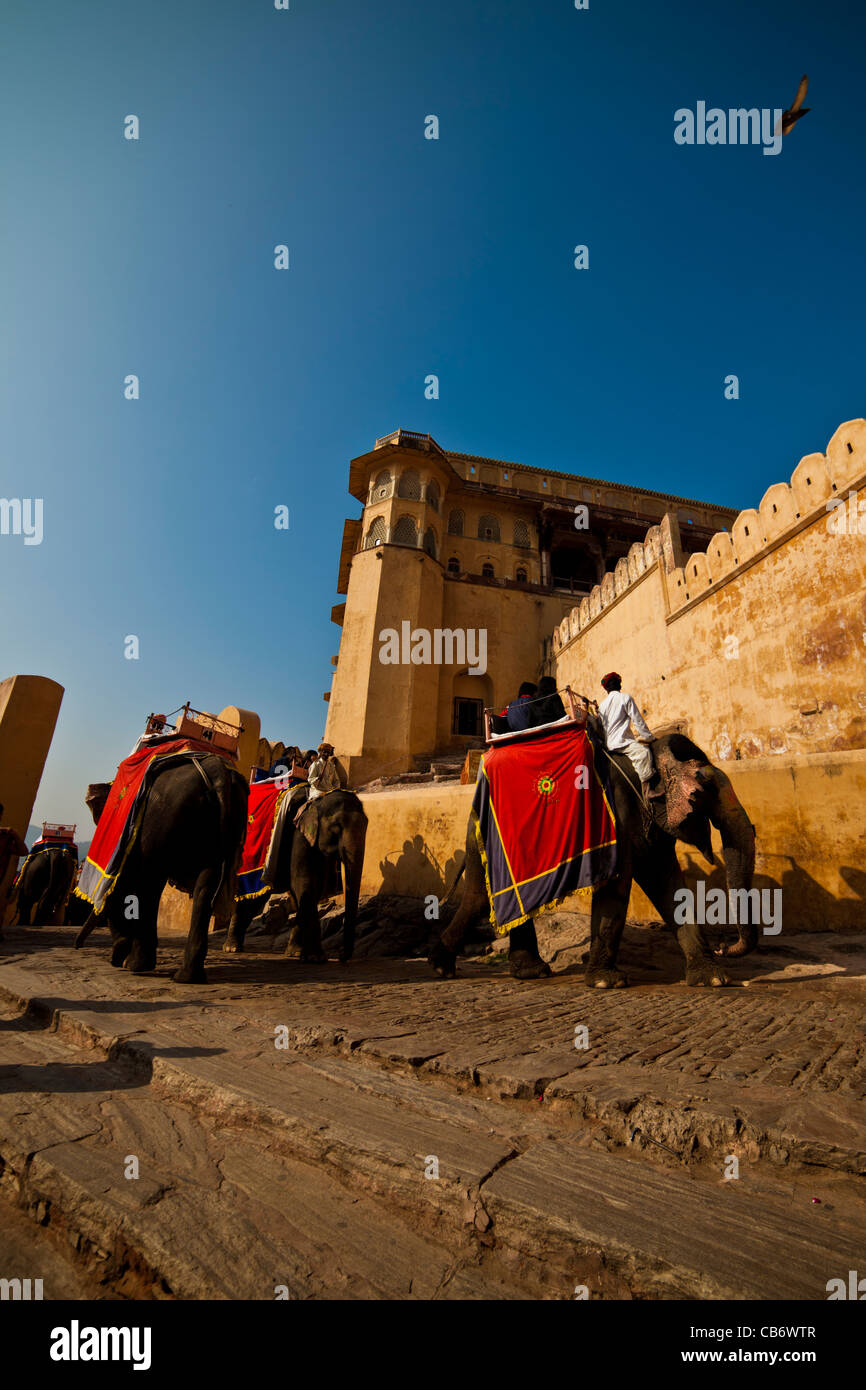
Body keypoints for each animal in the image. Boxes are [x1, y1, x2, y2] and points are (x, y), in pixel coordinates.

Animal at [75, 756, 248, 984]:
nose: (77, 946)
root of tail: (219, 772)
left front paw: (129, 962)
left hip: (164, 820)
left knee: (150, 885)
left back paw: (140, 966)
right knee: (205, 890)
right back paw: (187, 977)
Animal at [225, 795, 366, 967]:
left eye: (367, 824)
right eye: (336, 827)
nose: (340, 957)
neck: (317, 799)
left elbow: (315, 888)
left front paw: (297, 953)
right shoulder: (299, 836)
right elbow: (305, 882)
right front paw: (315, 958)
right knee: (252, 899)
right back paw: (232, 948)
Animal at [430, 728, 756, 989]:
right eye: (705, 790)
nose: (725, 946)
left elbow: (669, 884)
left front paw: (713, 979)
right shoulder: (620, 814)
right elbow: (617, 888)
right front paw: (606, 983)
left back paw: (530, 973)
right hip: (485, 839)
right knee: (480, 899)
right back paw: (442, 968)